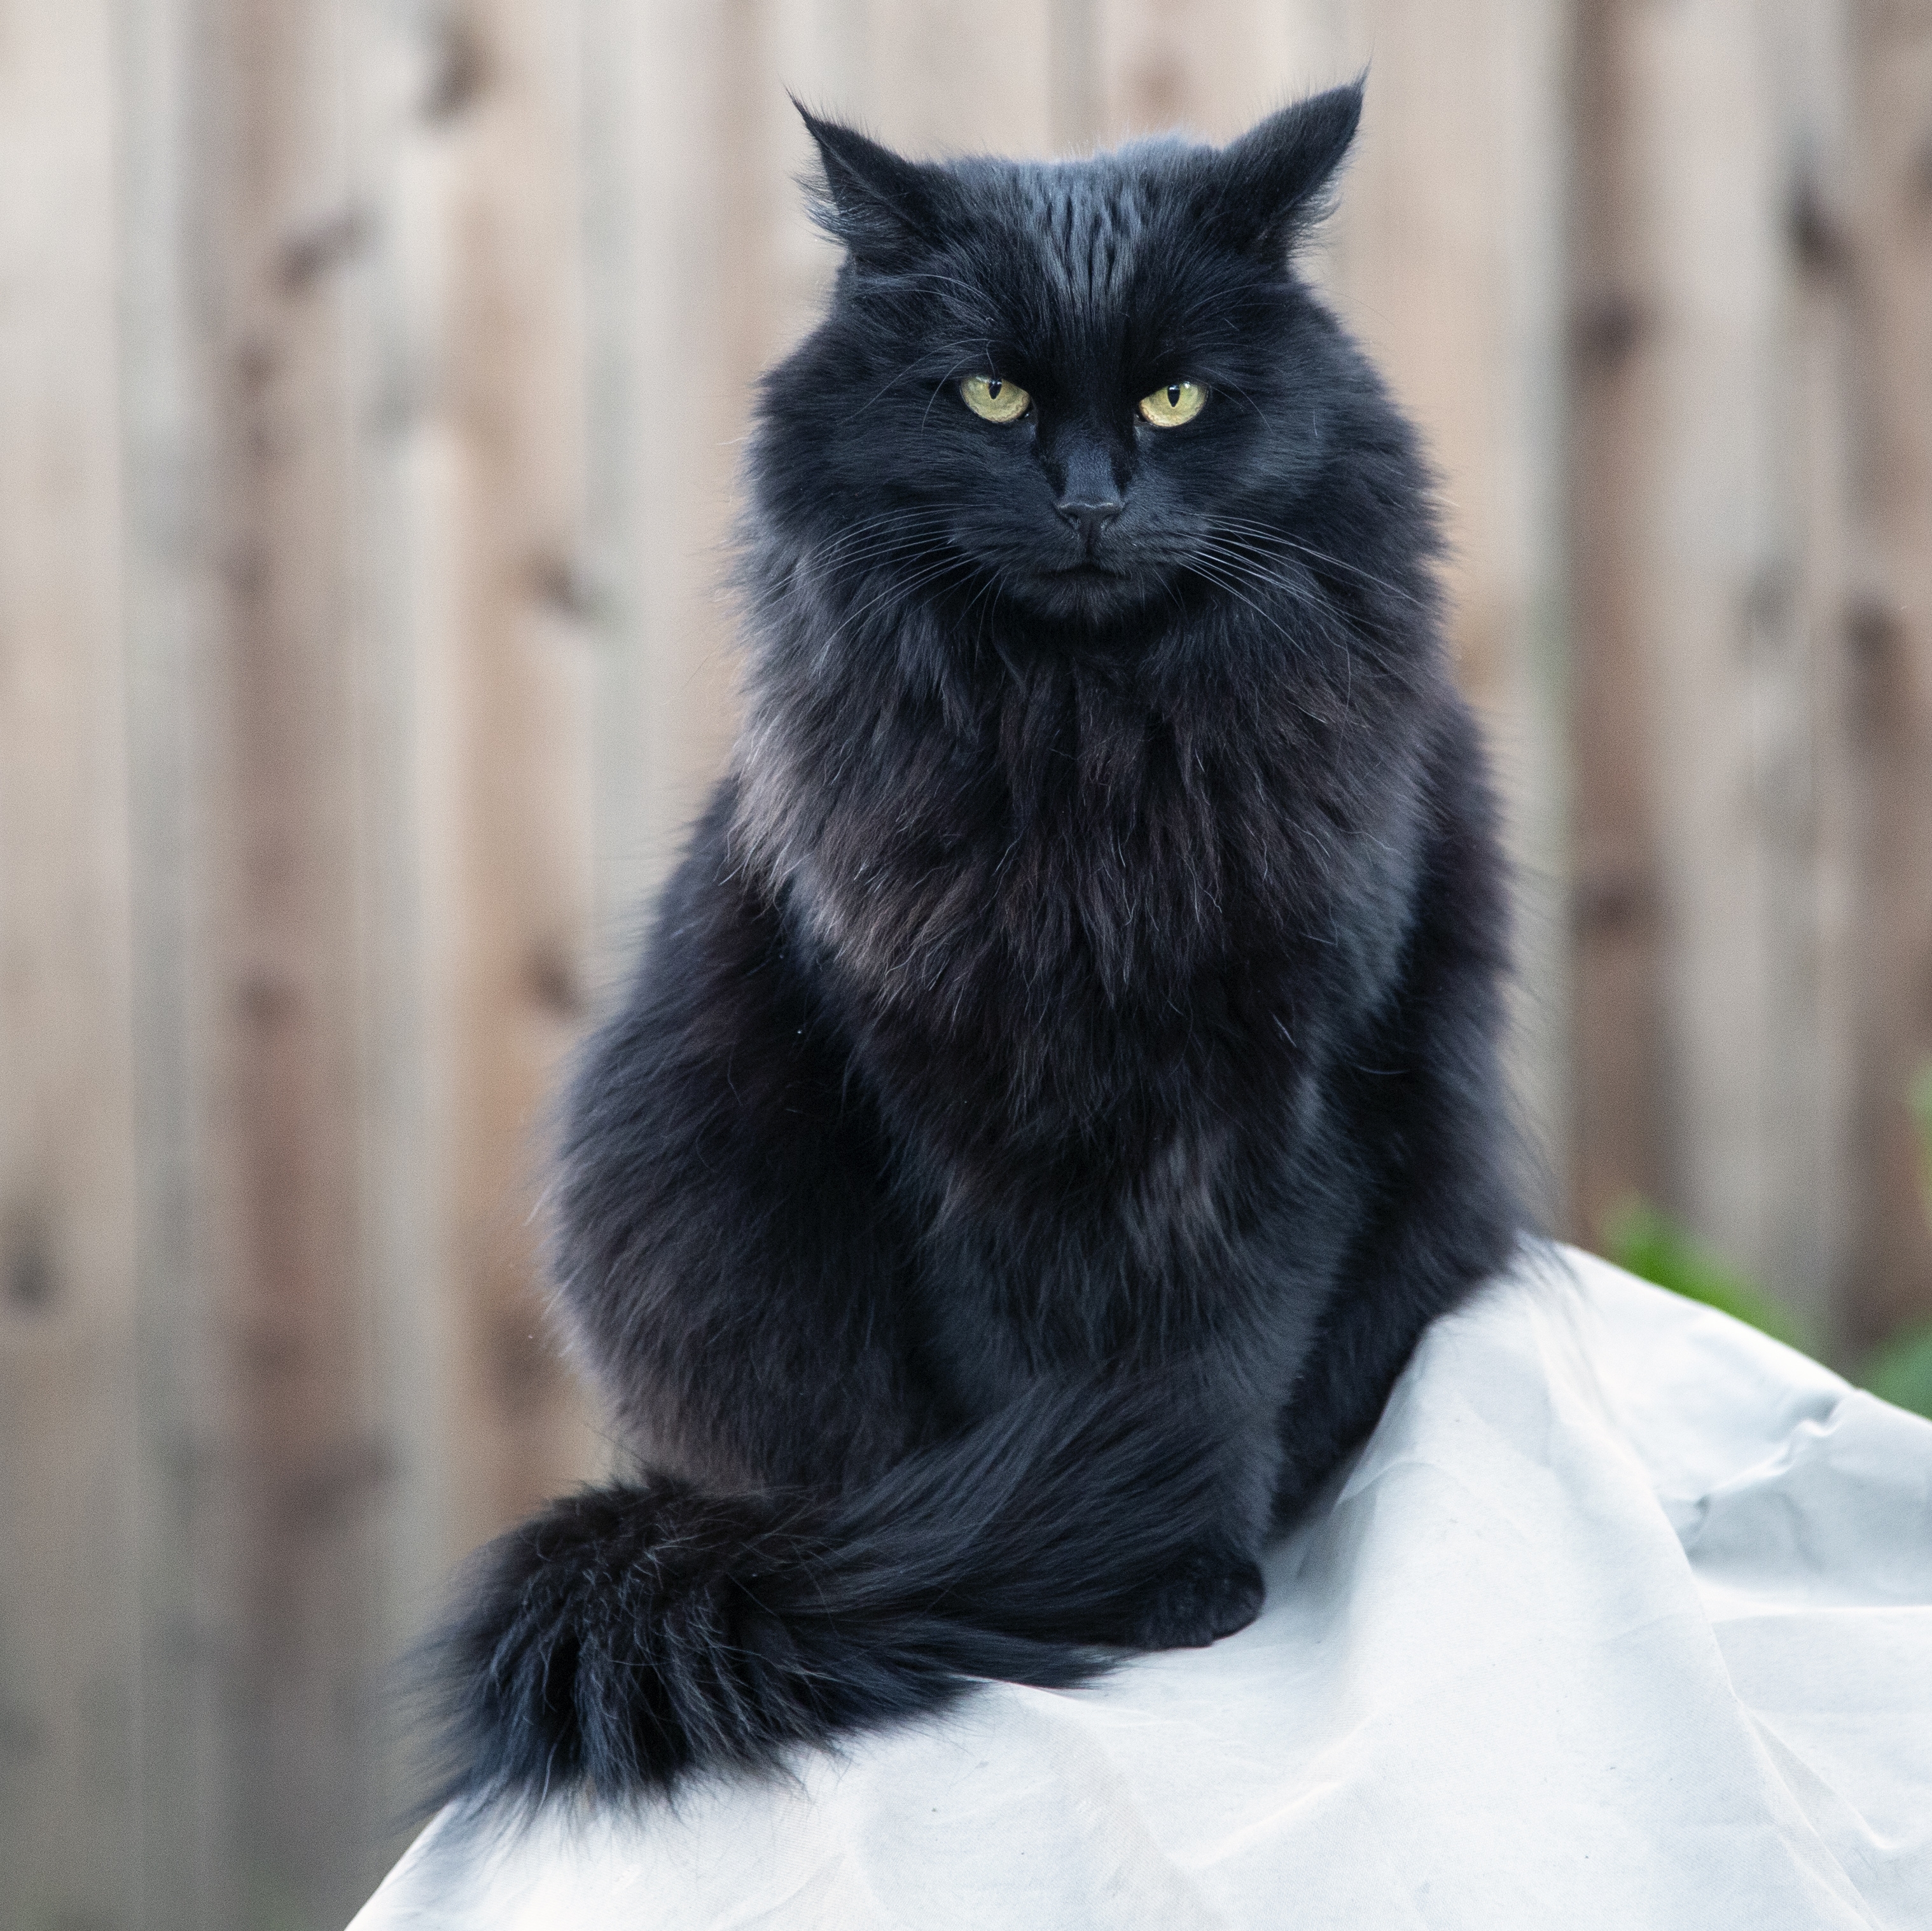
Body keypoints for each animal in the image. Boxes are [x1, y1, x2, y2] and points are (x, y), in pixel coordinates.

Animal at [427, 83, 1522, 1815]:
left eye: (1175, 397)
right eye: (992, 397)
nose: (1088, 500)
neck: (1094, 760)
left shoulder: (1291, 1106)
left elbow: (1219, 1362)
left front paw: (1177, 1571)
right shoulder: (939, 1111)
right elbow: (1014, 1370)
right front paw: (1059, 1566)